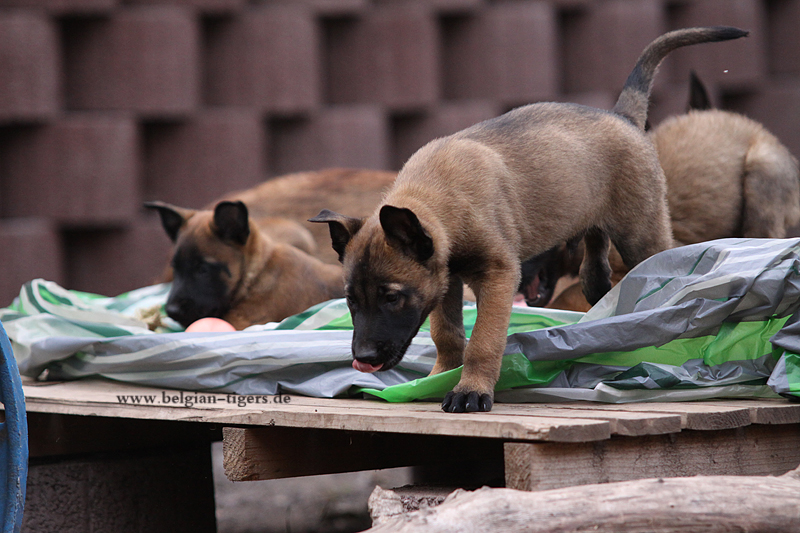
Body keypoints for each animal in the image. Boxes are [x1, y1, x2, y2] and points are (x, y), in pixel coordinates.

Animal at [310, 27, 748, 413]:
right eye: (350, 301)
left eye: (391, 297)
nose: (363, 358)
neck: (437, 196)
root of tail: (621, 116)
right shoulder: (445, 280)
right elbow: (446, 333)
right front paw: (436, 378)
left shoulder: (498, 274)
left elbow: (483, 341)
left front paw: (471, 391)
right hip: (594, 228)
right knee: (595, 267)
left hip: (641, 231)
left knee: (660, 262)